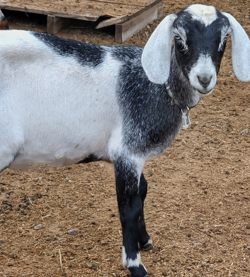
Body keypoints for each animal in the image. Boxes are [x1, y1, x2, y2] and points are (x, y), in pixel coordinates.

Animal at [0, 4, 249, 276]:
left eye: (223, 40)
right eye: (180, 40)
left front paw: (145, 240)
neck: (156, 86)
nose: (204, 79)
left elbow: (142, 192)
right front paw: (134, 263)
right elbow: (128, 208)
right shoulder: (127, 151)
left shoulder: (131, 155)